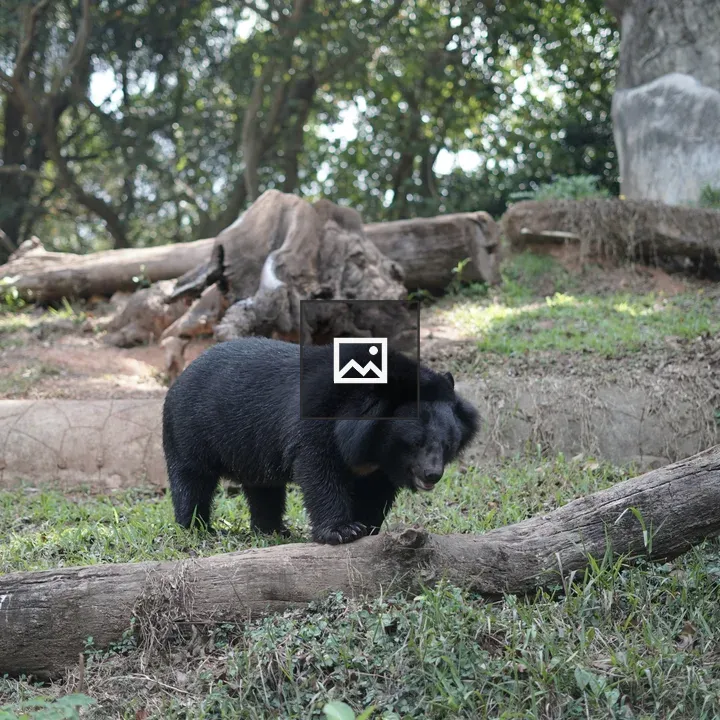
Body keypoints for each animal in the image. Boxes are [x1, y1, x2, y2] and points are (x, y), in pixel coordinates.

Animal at [162, 337, 479, 544]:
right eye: (415, 442)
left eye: (447, 444)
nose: (432, 474)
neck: (374, 447)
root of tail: (182, 374)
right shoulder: (317, 421)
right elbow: (319, 470)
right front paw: (343, 531)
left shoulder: (380, 465)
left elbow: (375, 491)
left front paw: (367, 526)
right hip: (189, 430)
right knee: (192, 481)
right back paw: (198, 528)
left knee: (264, 488)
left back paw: (273, 530)